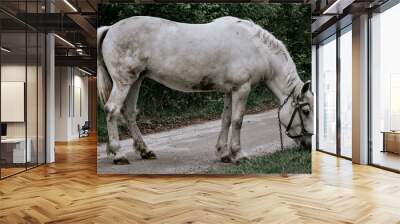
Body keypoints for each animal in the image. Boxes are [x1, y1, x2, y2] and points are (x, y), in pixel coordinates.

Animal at [97, 14, 312, 164]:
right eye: (306, 111)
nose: (308, 146)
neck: (256, 49)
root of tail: (110, 29)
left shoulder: (229, 91)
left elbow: (226, 119)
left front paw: (224, 153)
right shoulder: (242, 89)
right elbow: (237, 120)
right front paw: (239, 154)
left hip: (136, 80)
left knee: (129, 113)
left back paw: (145, 151)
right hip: (124, 81)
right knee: (112, 110)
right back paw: (119, 154)